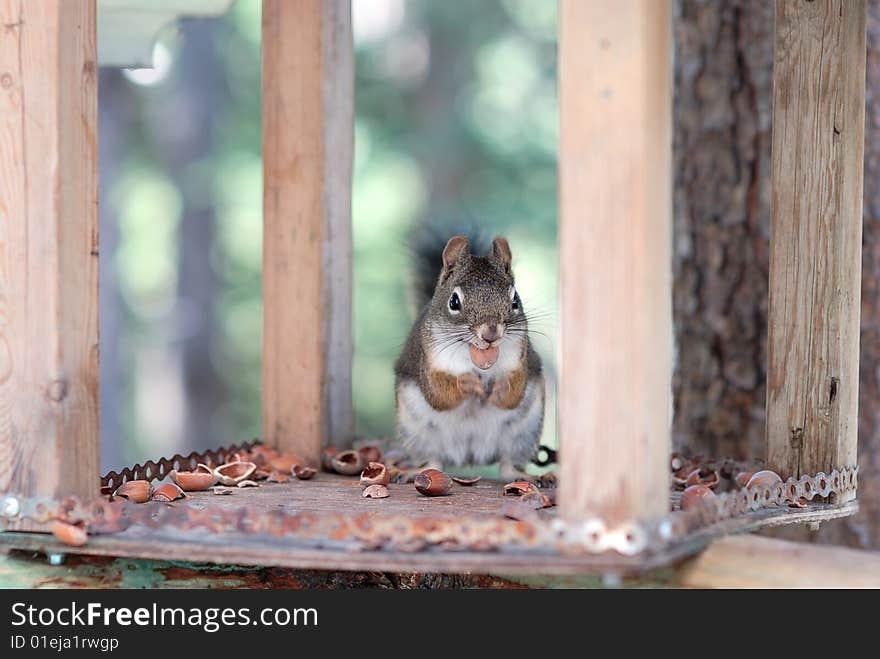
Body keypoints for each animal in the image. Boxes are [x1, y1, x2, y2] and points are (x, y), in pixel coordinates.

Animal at [394, 235, 544, 482]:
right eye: (454, 302)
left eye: (515, 301)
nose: (491, 333)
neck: (476, 359)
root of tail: (470, 455)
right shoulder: (428, 361)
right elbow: (438, 394)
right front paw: (466, 383)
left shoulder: (520, 358)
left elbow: (514, 393)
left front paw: (501, 386)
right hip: (419, 434)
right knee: (433, 462)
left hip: (523, 434)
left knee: (508, 466)